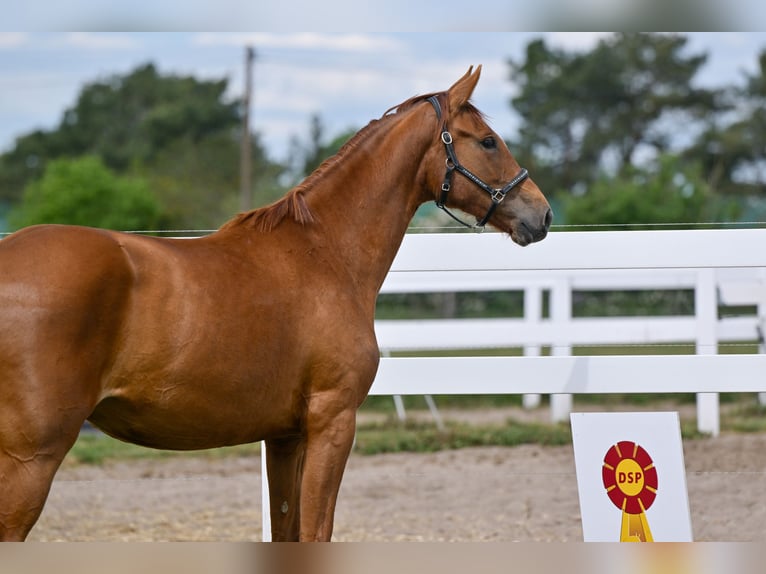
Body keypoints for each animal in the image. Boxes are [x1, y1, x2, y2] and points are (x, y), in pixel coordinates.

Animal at [0, 66, 551, 541]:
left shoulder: (285, 437)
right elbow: (317, 531)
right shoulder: (332, 422)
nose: (541, 214)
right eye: (487, 140)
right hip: (32, 458)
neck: (325, 254)